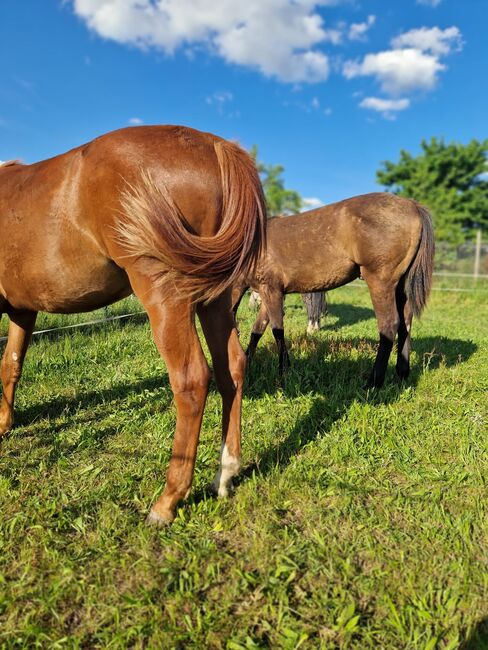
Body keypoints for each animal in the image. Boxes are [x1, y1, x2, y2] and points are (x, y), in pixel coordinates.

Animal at [0, 125, 266, 520]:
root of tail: (212, 144)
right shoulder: (23, 310)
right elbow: (11, 366)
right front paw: (4, 424)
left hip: (164, 292)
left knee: (191, 379)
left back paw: (168, 500)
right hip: (214, 298)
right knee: (231, 368)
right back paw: (225, 474)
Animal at [233, 191, 434, 384]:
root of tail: (412, 205)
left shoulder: (271, 291)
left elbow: (277, 331)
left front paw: (283, 372)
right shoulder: (270, 294)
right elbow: (257, 330)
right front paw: (248, 362)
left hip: (380, 283)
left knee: (389, 324)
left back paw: (373, 383)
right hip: (399, 286)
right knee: (405, 322)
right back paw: (401, 375)